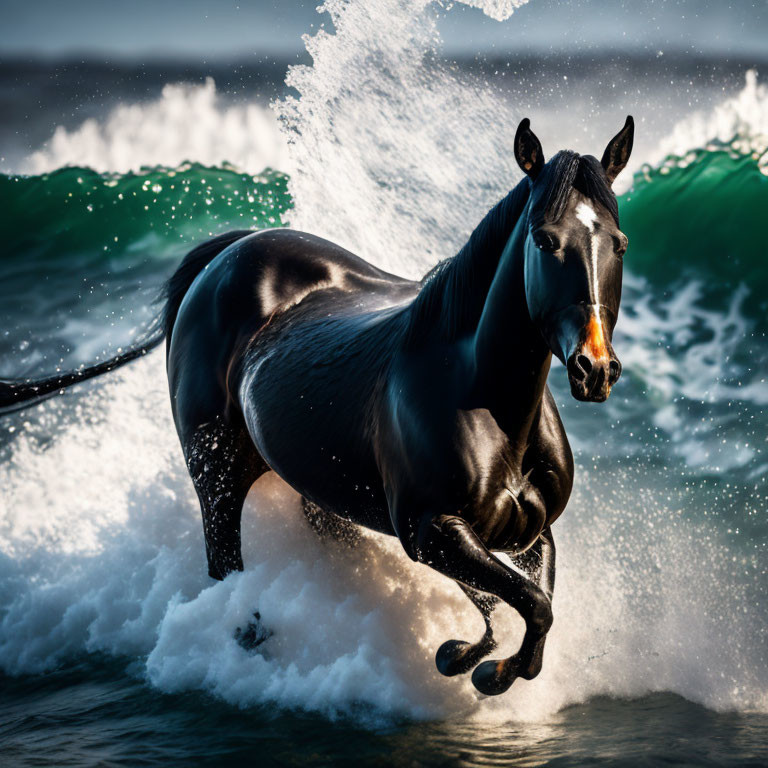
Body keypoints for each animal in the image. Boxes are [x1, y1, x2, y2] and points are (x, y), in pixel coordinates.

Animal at [0, 115, 632, 696]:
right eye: (545, 240)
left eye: (619, 244)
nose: (595, 369)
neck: (485, 404)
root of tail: (228, 252)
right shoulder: (431, 531)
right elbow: (523, 605)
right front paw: (471, 664)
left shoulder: (527, 534)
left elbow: (527, 608)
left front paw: (469, 660)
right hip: (215, 472)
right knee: (223, 567)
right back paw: (252, 641)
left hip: (320, 491)